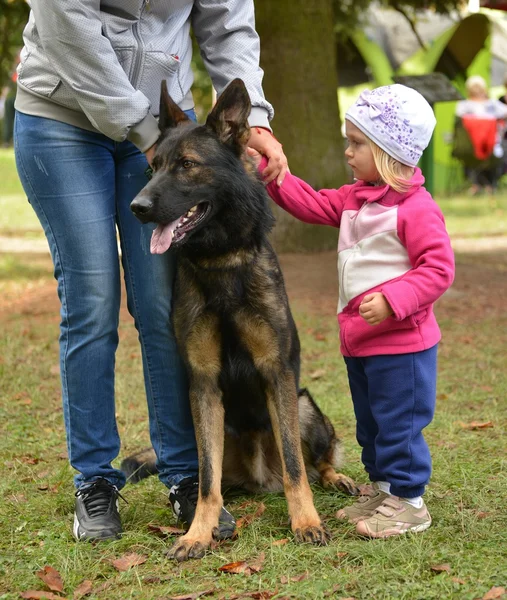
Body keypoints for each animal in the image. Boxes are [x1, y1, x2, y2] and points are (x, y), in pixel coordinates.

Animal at [126, 77, 358, 560]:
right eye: (152, 167)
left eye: (187, 165)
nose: (137, 207)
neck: (221, 264)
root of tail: (259, 476)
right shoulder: (204, 383)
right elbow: (205, 480)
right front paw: (197, 533)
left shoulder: (276, 372)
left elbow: (295, 467)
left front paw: (306, 521)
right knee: (219, 478)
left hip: (304, 407)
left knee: (314, 462)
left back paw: (336, 478)